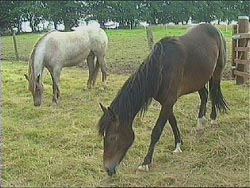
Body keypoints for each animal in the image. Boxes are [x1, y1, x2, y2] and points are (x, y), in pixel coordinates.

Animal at [97, 23, 229, 176]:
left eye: (113, 137)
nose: (108, 169)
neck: (162, 68)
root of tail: (215, 29)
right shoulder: (166, 102)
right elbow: (173, 122)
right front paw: (178, 145)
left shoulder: (168, 101)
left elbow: (157, 131)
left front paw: (145, 163)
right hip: (199, 79)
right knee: (205, 95)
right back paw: (200, 122)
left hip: (217, 71)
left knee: (214, 92)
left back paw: (213, 118)